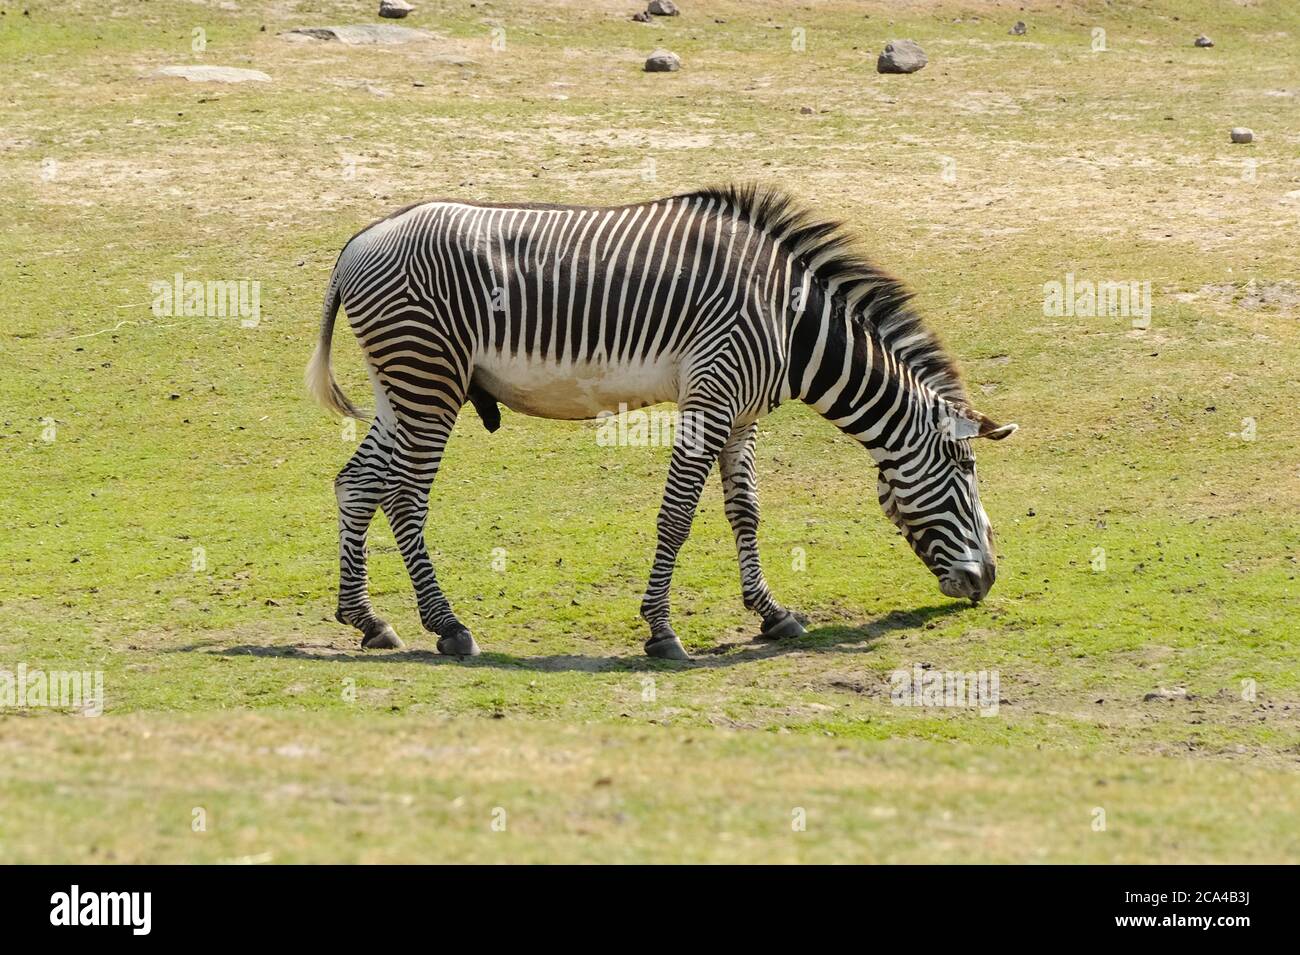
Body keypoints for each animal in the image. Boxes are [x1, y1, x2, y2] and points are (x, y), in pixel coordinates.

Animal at [306, 183, 1013, 660]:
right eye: (966, 468)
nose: (985, 582)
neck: (792, 324)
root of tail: (358, 243)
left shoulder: (741, 411)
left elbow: (745, 510)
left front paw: (772, 613)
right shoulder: (712, 393)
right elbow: (676, 515)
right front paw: (662, 630)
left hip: (402, 386)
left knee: (356, 483)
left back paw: (367, 619)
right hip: (429, 379)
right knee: (405, 496)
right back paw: (448, 626)